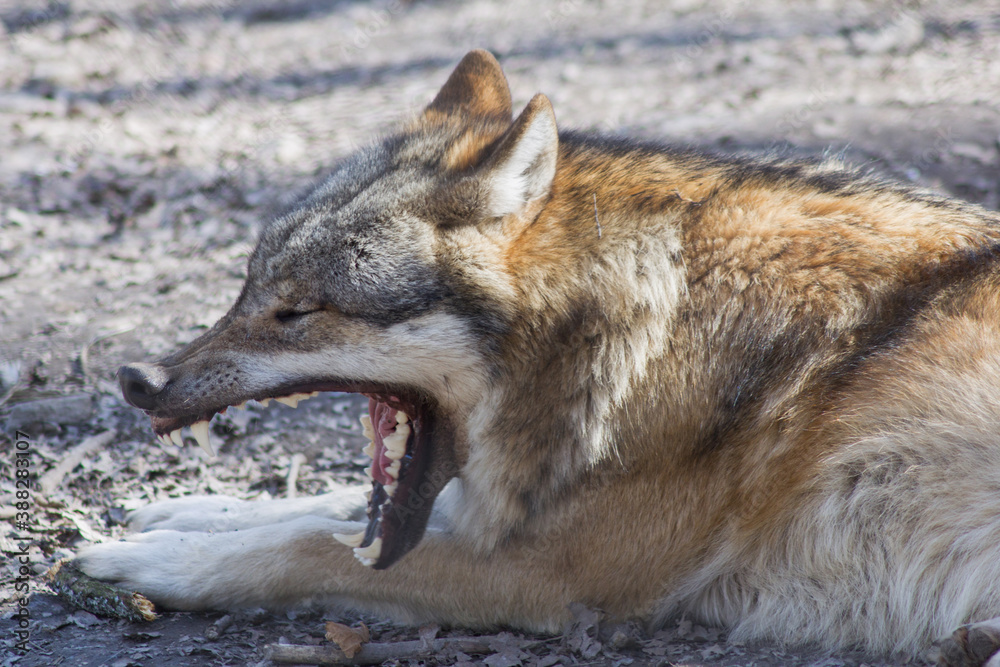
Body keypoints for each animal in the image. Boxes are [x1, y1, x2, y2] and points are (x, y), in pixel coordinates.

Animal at [78, 50, 1000, 664]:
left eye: (298, 311)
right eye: (248, 285)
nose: (138, 380)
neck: (647, 314)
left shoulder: (549, 572)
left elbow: (309, 541)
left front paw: (147, 561)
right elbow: (320, 506)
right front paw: (181, 509)